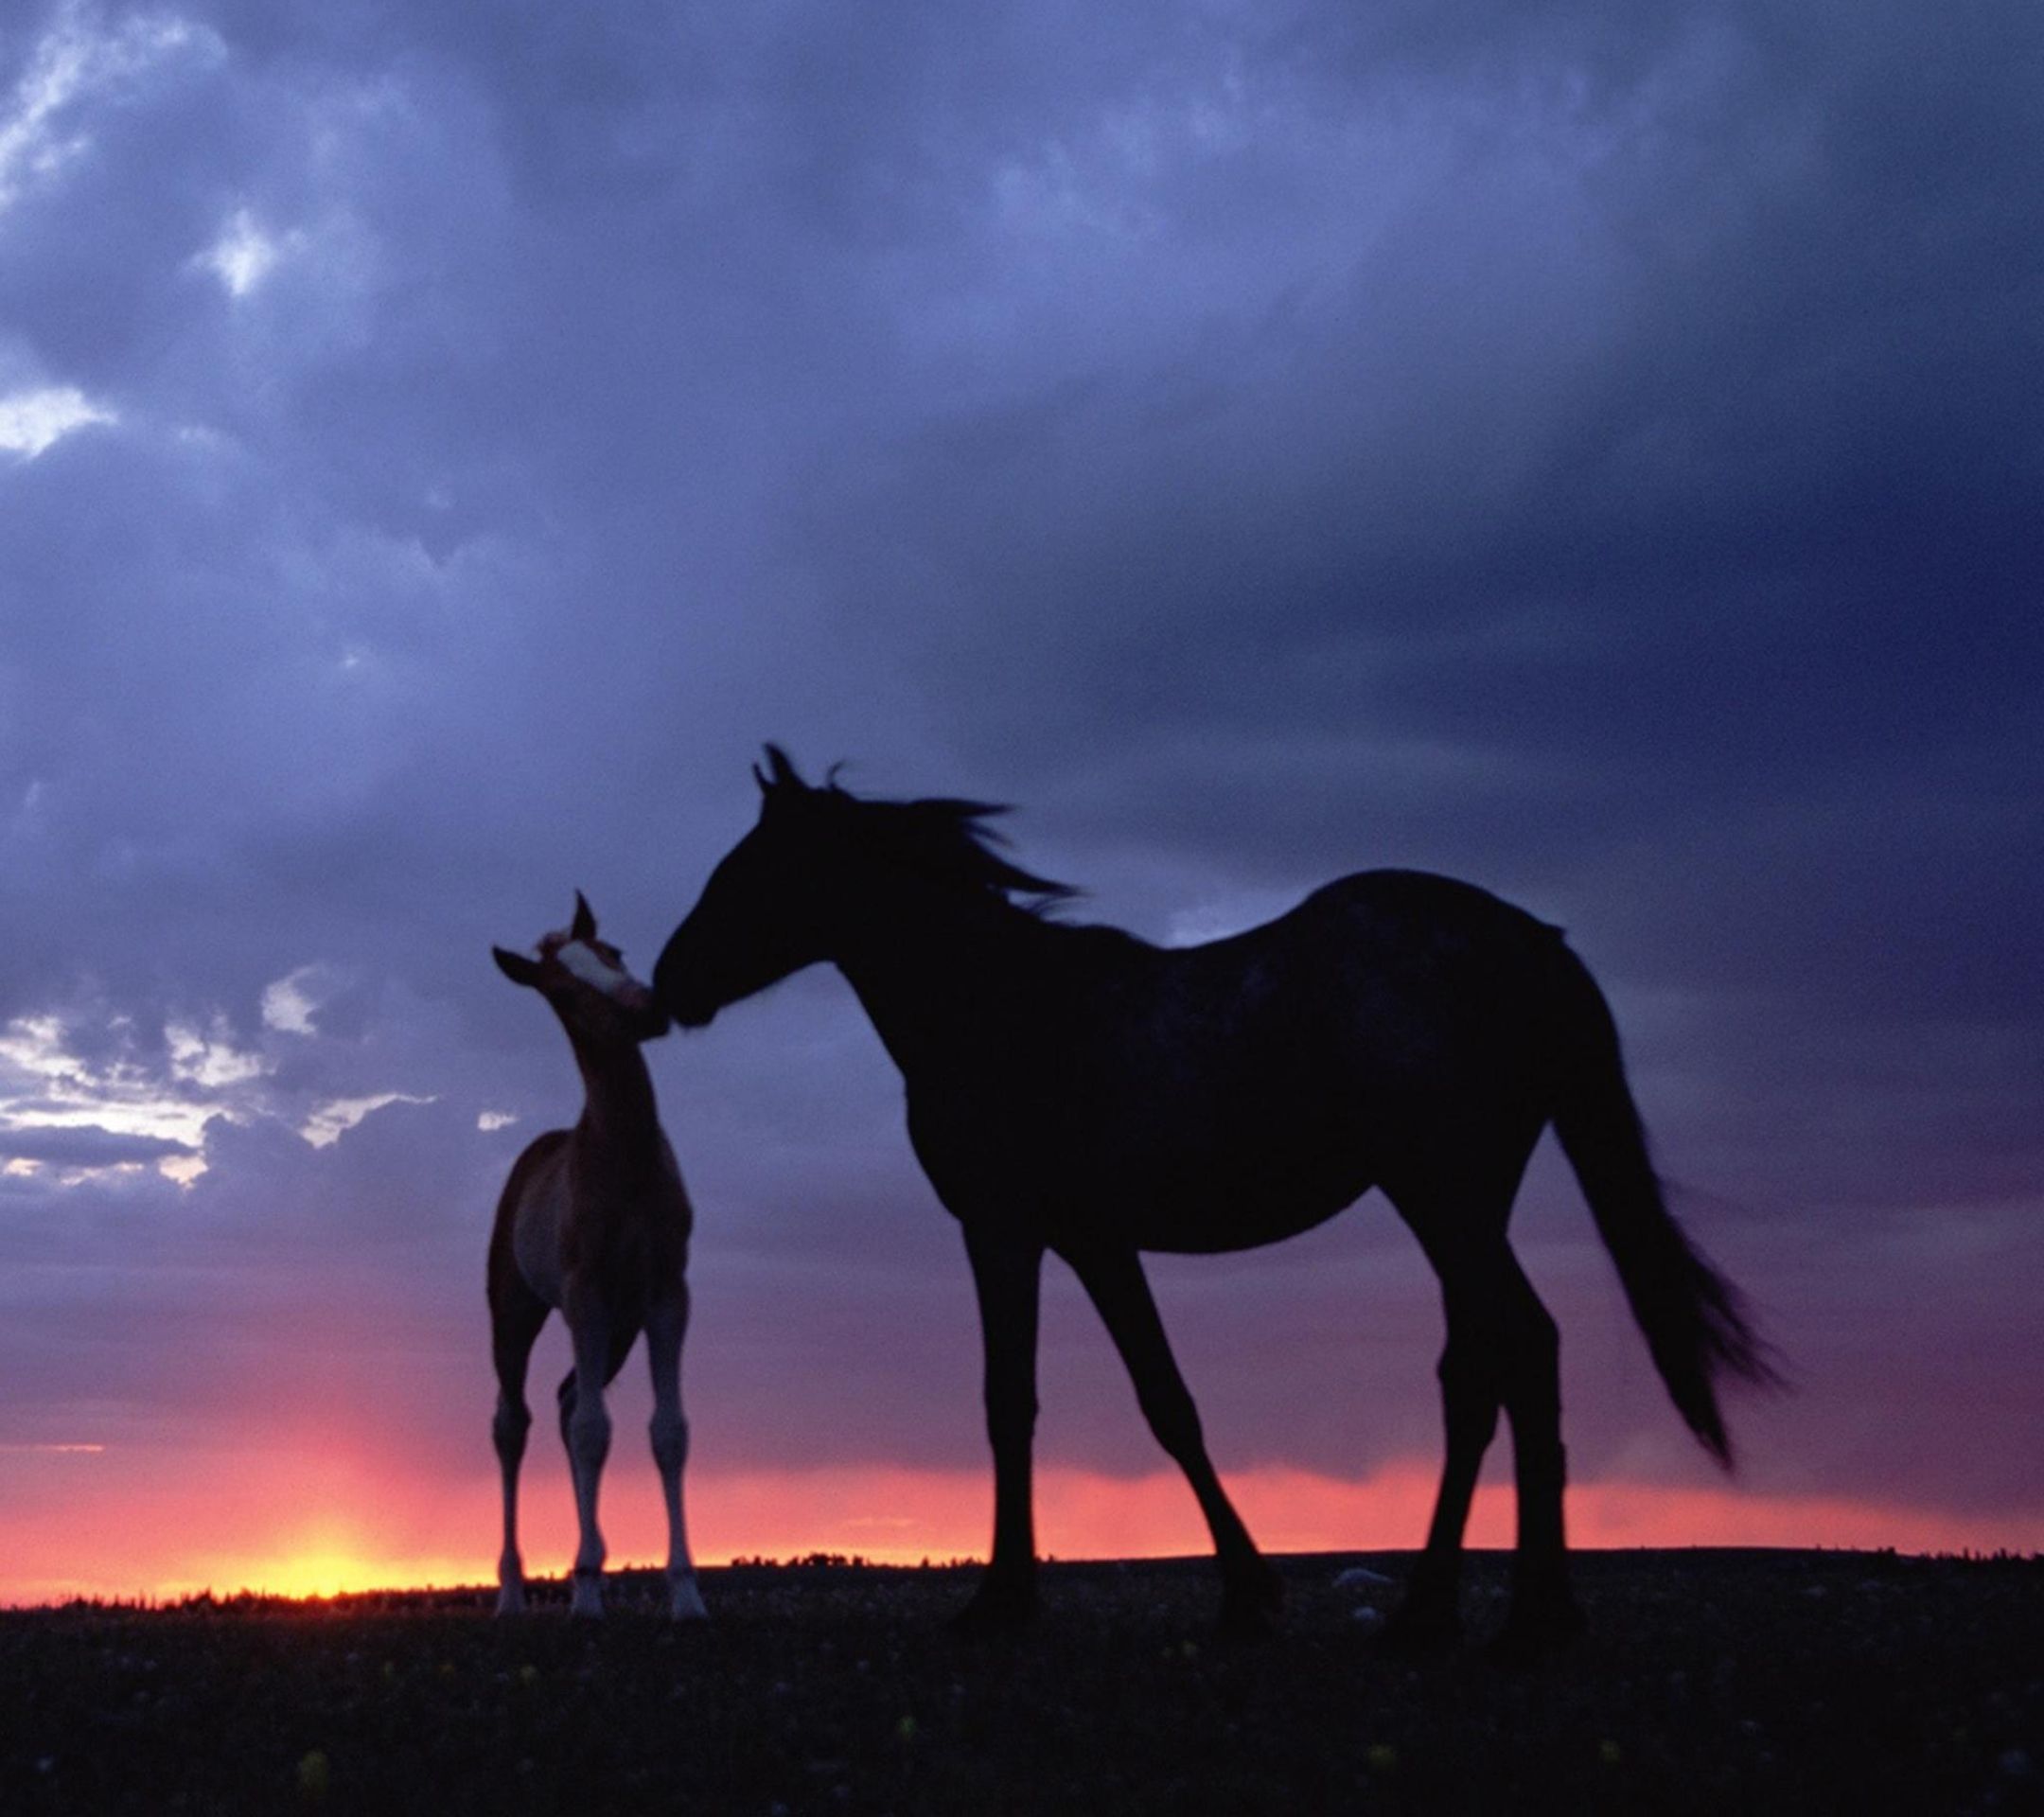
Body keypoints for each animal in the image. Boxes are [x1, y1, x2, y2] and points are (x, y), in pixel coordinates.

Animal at [488, 893, 709, 1622]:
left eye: (614, 952)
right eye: (561, 989)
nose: (647, 1008)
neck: (626, 1159)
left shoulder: (666, 1293)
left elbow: (667, 1431)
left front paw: (687, 1594)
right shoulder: (584, 1291)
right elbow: (592, 1429)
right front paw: (583, 1597)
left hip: (618, 1326)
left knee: (564, 1401)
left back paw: (591, 1565)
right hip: (517, 1311)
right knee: (515, 1422)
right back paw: (516, 1592)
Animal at [653, 748, 1774, 1655]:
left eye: (750, 869)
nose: (669, 979)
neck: (997, 1007)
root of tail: (1534, 941)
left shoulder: (1002, 1232)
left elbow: (1009, 1404)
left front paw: (1001, 1603)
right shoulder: (1095, 1243)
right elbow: (1169, 1404)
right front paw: (1246, 1594)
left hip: (1443, 1198)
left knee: (1515, 1352)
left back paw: (1505, 1617)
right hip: (1463, 1208)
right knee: (1486, 1369)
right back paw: (1458, 1612)